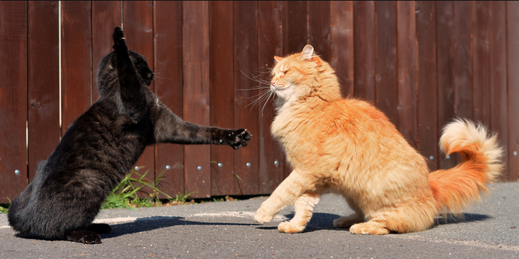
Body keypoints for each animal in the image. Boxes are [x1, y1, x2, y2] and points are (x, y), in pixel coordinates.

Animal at [7, 27, 252, 245]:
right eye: (142, 65)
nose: (152, 73)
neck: (110, 89)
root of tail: (26, 218)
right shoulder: (132, 102)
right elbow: (127, 73)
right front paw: (119, 39)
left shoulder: (170, 126)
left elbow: (206, 131)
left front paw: (236, 137)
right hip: (91, 183)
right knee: (61, 229)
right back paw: (89, 235)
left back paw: (99, 226)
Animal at [254, 44, 506, 236]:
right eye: (274, 74)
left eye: (285, 72)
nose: (272, 83)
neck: (314, 107)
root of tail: (429, 186)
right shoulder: (312, 178)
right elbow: (302, 205)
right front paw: (295, 226)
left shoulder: (305, 171)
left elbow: (281, 192)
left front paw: (262, 214)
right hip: (351, 193)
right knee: (368, 214)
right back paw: (347, 220)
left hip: (375, 195)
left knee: (391, 224)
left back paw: (362, 227)